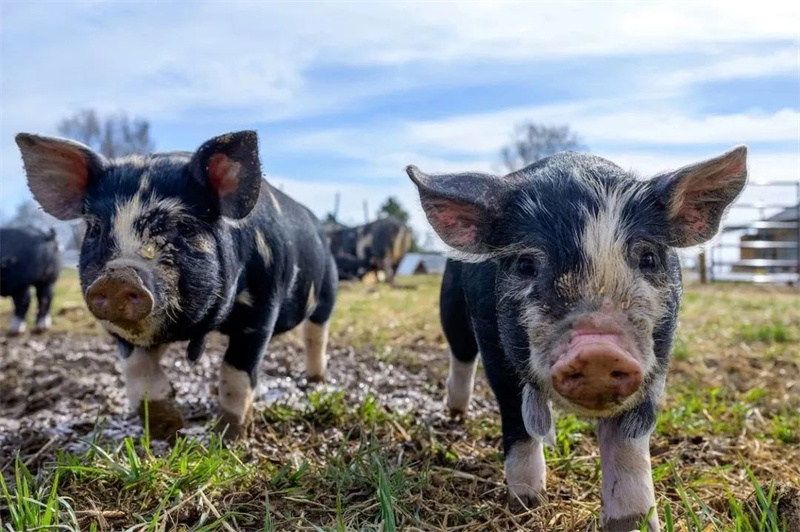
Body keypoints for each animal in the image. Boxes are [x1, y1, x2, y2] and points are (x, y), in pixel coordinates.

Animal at [18, 132, 338, 440]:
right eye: (95, 228)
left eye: (184, 226)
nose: (119, 276)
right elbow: (137, 368)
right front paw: (169, 430)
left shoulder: (262, 307)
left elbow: (236, 370)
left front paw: (228, 437)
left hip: (328, 290)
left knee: (316, 334)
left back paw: (316, 380)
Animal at [410, 147, 748, 532]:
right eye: (526, 265)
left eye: (648, 257)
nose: (598, 350)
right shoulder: (494, 347)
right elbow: (517, 422)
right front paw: (527, 505)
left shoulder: (659, 357)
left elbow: (628, 442)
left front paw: (635, 522)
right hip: (451, 307)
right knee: (461, 355)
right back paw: (455, 414)